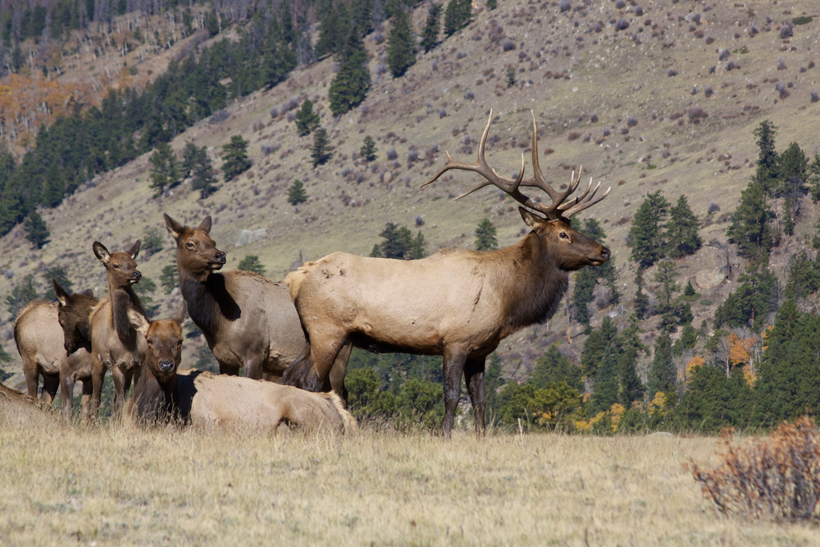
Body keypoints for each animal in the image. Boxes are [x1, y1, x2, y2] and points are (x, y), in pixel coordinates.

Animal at [13, 281, 96, 417]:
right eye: (60, 321)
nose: (67, 345)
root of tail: (19, 319)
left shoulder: (89, 376)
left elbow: (87, 413)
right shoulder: (66, 372)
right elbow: (68, 410)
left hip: (50, 372)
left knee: (45, 401)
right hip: (29, 361)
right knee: (32, 395)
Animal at [88, 240, 149, 414]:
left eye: (134, 263)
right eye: (116, 265)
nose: (136, 274)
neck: (126, 338)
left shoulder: (140, 363)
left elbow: (135, 397)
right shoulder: (116, 364)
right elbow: (121, 400)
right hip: (97, 360)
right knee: (96, 398)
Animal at [162, 214, 350, 396]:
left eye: (212, 241)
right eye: (190, 243)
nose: (220, 255)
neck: (216, 321)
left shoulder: (254, 353)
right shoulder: (224, 360)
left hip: (339, 358)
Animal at [283, 111, 611, 436]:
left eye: (572, 227)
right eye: (563, 234)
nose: (603, 251)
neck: (506, 299)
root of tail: (295, 277)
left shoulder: (480, 349)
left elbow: (480, 399)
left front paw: (481, 438)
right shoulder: (455, 340)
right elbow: (451, 396)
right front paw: (446, 436)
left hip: (313, 333)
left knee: (291, 374)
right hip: (327, 330)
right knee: (312, 380)